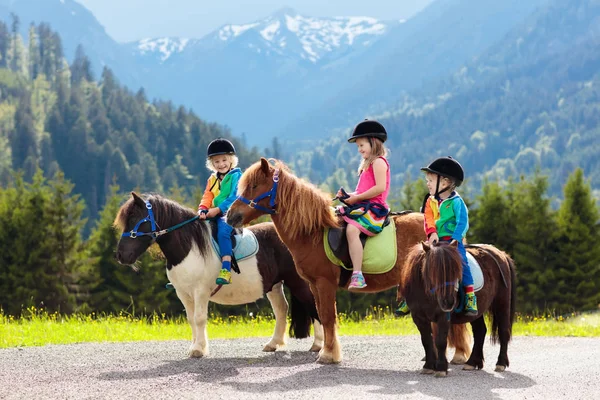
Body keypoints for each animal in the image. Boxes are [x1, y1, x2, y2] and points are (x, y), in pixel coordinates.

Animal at [116, 192, 324, 358]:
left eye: (137, 219)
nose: (120, 255)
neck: (190, 247)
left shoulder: (200, 291)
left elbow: (199, 318)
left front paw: (198, 350)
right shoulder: (183, 293)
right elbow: (191, 319)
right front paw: (195, 346)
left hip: (298, 283)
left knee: (313, 305)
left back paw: (318, 345)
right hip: (274, 285)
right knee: (282, 309)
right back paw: (273, 344)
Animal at [227, 158, 472, 364]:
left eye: (254, 186)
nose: (231, 216)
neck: (313, 232)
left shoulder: (324, 283)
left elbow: (327, 317)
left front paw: (328, 355)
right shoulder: (314, 285)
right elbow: (323, 316)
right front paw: (327, 351)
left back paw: (459, 354)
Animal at [398, 241, 516, 378]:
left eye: (456, 271)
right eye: (433, 271)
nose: (449, 302)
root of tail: (501, 254)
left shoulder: (443, 316)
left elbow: (440, 341)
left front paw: (441, 368)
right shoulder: (419, 317)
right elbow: (426, 341)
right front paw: (428, 366)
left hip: (502, 304)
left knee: (503, 331)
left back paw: (500, 363)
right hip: (476, 312)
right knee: (480, 331)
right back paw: (473, 362)